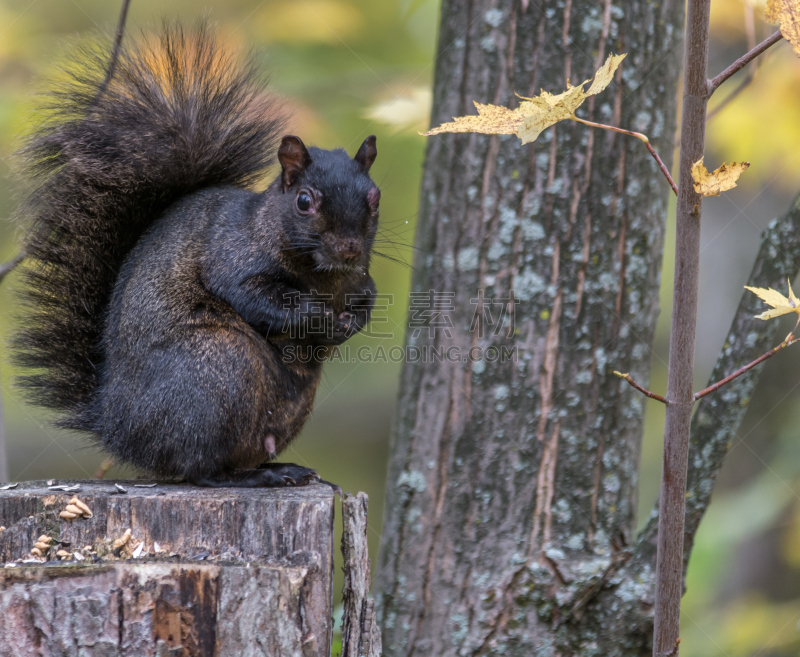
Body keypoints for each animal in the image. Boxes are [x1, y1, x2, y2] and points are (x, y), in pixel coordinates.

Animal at [9, 24, 378, 486]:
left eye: (375, 198)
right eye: (304, 201)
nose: (349, 248)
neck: (325, 277)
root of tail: (117, 428)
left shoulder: (361, 281)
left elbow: (367, 299)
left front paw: (349, 323)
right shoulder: (231, 256)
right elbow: (258, 299)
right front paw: (318, 317)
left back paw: (279, 467)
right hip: (219, 370)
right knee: (198, 467)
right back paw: (250, 478)